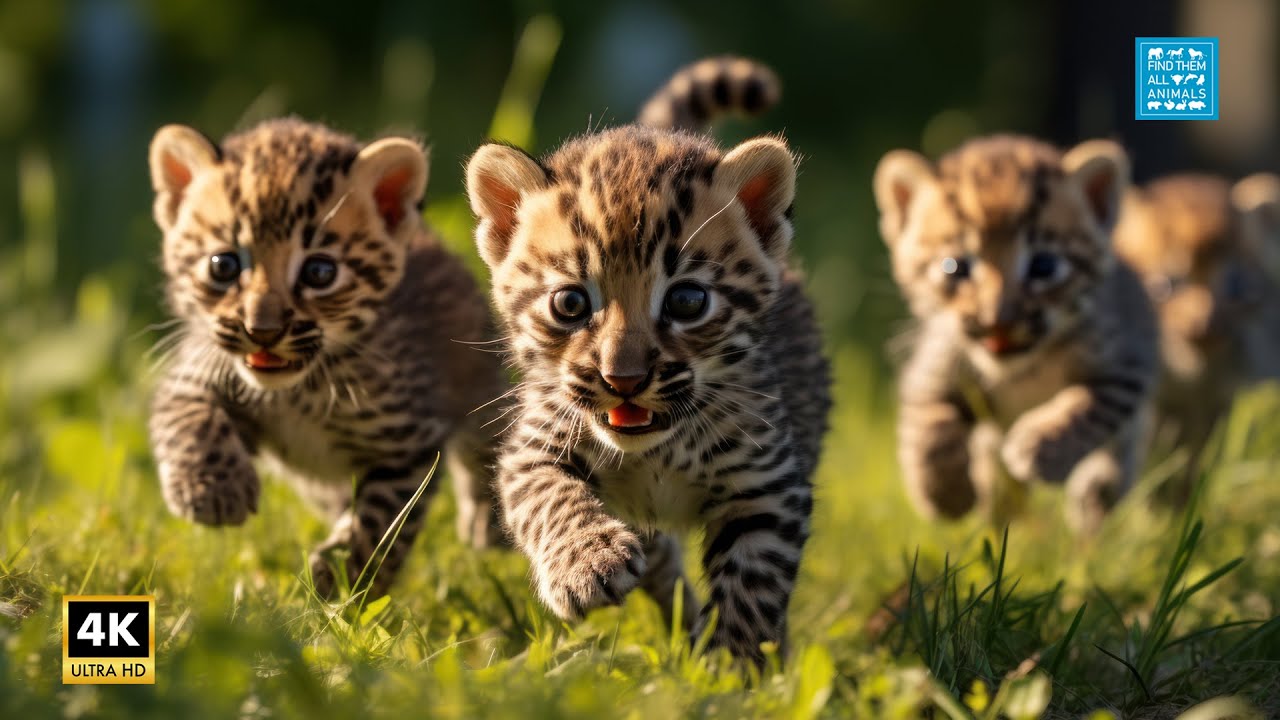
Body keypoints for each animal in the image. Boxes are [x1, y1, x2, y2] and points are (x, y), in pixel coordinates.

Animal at [147, 118, 507, 599]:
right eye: (223, 266)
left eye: (320, 272)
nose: (262, 331)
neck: (298, 391)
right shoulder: (196, 368)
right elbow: (187, 417)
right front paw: (212, 489)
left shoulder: (407, 446)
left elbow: (380, 523)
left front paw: (340, 579)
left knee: (488, 440)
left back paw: (489, 524)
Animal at [463, 57, 830, 663]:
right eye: (569, 304)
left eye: (687, 302)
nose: (624, 379)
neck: (658, 452)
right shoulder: (534, 447)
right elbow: (549, 497)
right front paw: (588, 565)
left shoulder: (768, 488)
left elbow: (752, 588)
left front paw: (731, 668)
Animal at [873, 135, 1159, 535]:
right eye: (955, 267)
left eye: (1044, 266)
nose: (998, 319)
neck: (1023, 367)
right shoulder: (935, 363)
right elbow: (930, 426)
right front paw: (946, 494)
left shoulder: (1127, 364)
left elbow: (1087, 407)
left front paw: (1041, 446)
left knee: (1110, 473)